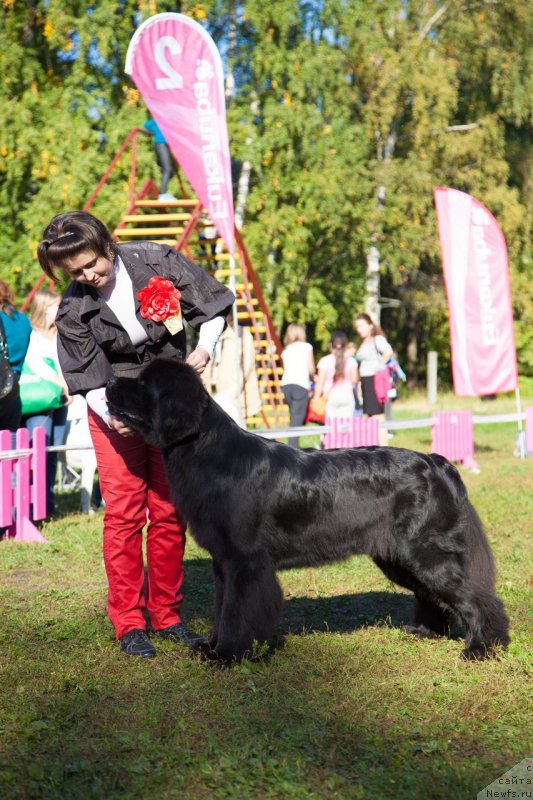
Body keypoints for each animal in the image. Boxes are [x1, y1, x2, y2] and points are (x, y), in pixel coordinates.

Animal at [106, 360, 510, 660]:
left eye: (143, 383)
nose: (108, 380)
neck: (206, 451)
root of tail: (438, 462)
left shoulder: (244, 562)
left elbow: (238, 612)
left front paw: (228, 655)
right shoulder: (223, 563)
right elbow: (223, 610)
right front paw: (211, 647)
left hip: (427, 553)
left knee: (477, 598)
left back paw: (483, 647)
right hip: (399, 557)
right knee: (430, 595)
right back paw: (425, 632)